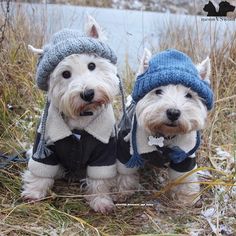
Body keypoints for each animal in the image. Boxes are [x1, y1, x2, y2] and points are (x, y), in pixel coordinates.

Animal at [21, 15, 120, 213]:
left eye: (92, 65)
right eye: (65, 74)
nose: (87, 94)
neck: (82, 116)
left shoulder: (104, 151)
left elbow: (100, 179)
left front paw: (101, 201)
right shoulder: (44, 144)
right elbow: (40, 171)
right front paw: (33, 192)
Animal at [116, 48, 214, 205]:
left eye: (189, 95)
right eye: (158, 91)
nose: (173, 112)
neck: (164, 135)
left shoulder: (185, 155)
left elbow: (185, 177)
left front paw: (187, 199)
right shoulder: (126, 148)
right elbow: (125, 171)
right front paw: (123, 191)